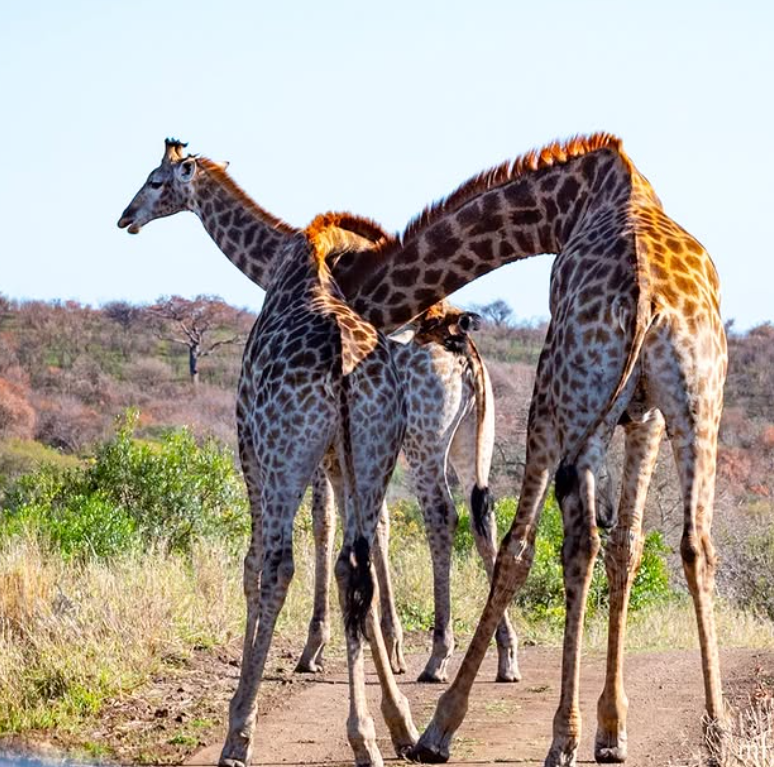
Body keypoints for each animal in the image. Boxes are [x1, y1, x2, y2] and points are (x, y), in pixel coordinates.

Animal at [116, 140, 418, 767]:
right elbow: (353, 564)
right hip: (374, 453)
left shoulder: (247, 445)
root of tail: (344, 362)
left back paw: (240, 735)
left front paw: (240, 707)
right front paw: (396, 720)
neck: (289, 255)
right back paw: (366, 736)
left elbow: (252, 566)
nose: (125, 217)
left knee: (280, 564)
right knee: (355, 568)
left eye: (155, 180)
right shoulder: (341, 462)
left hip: (283, 454)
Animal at [116, 141, 520, 688]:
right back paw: (504, 655)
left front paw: (318, 648)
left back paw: (439, 656)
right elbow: (372, 527)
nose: (125, 217)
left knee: (440, 514)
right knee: (483, 515)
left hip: (423, 439)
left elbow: (325, 525)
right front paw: (384, 643)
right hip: (467, 437)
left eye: (156, 180)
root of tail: (467, 351)